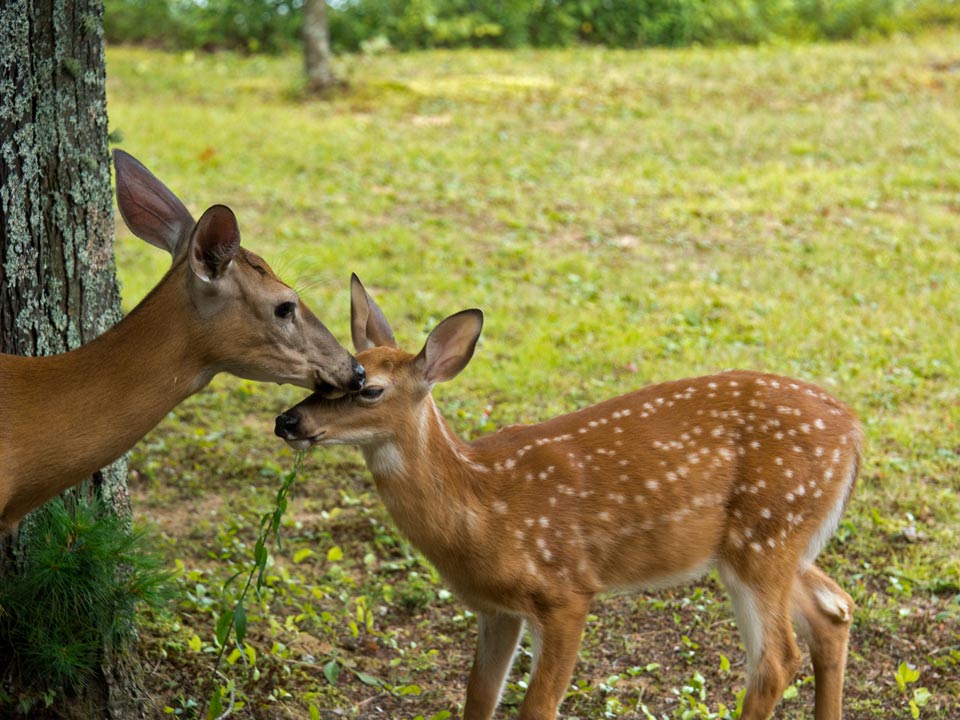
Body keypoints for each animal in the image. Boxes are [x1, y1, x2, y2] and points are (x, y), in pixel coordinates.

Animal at [275, 274, 862, 720]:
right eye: (336, 375)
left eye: (369, 388)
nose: (288, 421)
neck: (482, 509)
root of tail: (855, 431)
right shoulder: (496, 607)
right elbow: (478, 698)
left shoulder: (566, 590)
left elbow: (537, 707)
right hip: (773, 542)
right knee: (834, 608)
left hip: (765, 533)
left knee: (777, 660)